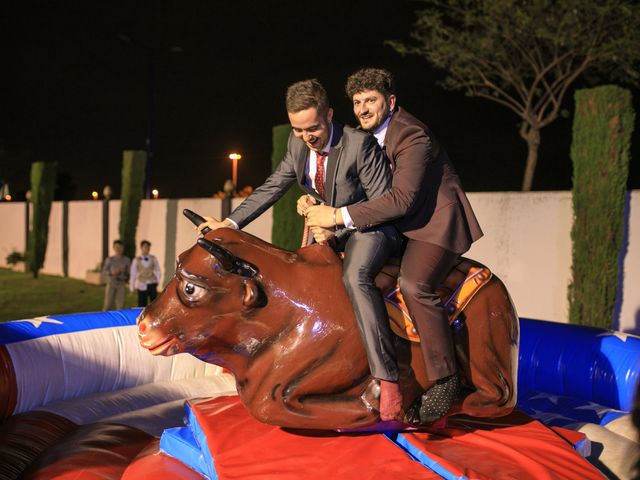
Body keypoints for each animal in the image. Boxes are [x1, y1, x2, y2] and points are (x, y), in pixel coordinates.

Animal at [138, 212, 516, 430]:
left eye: (190, 286)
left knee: (497, 399)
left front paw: (377, 398)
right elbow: (263, 401)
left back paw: (424, 407)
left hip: (485, 350)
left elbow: (269, 404)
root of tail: (494, 280)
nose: (143, 326)